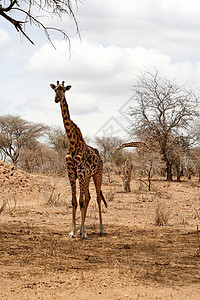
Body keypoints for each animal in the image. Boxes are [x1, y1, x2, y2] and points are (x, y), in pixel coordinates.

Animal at [49, 80, 107, 239]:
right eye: (55, 89)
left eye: (64, 90)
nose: (57, 98)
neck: (72, 142)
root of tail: (100, 157)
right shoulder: (71, 173)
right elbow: (74, 201)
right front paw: (73, 231)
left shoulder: (80, 172)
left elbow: (80, 201)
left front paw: (84, 233)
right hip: (87, 177)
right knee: (88, 197)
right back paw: (82, 229)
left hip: (97, 174)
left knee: (97, 198)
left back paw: (101, 229)